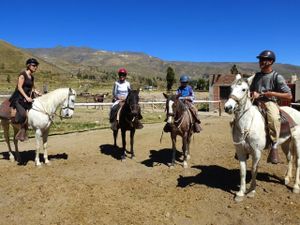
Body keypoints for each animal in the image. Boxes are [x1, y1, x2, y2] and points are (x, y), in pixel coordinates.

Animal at [224, 74, 300, 202]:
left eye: (244, 89)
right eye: (231, 88)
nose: (228, 107)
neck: (247, 124)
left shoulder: (257, 152)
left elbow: (254, 170)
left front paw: (251, 191)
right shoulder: (240, 151)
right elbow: (243, 172)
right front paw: (240, 193)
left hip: (297, 142)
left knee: (298, 162)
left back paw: (295, 187)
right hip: (286, 143)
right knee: (290, 158)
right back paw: (287, 178)